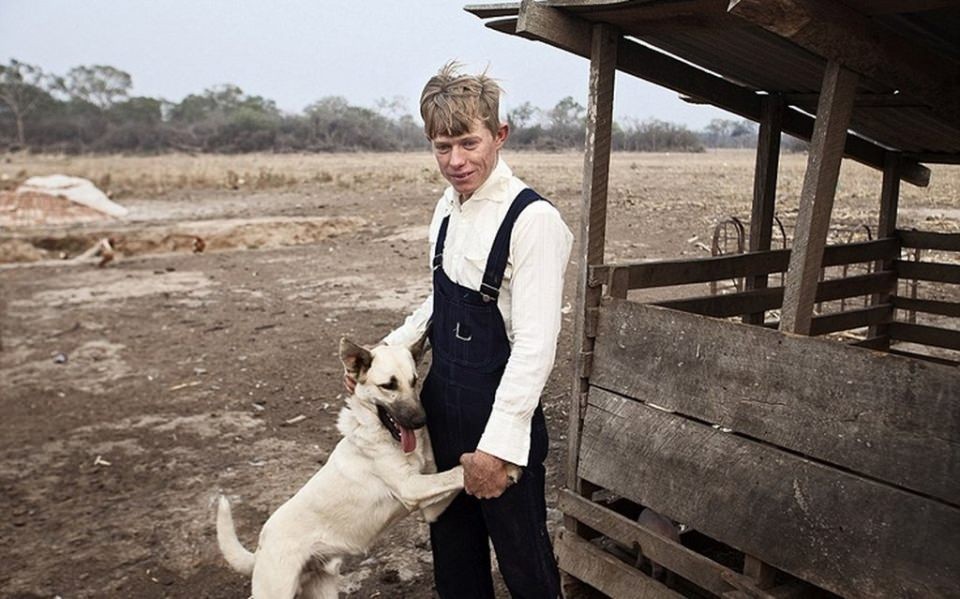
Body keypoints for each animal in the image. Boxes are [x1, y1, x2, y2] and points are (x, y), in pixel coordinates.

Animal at [218, 338, 472, 599]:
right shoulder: (410, 487)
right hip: (274, 591)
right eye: (388, 385)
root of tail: (261, 545)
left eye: (414, 381)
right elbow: (455, 473)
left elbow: (451, 478)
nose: (421, 421)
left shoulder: (430, 507)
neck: (383, 435)